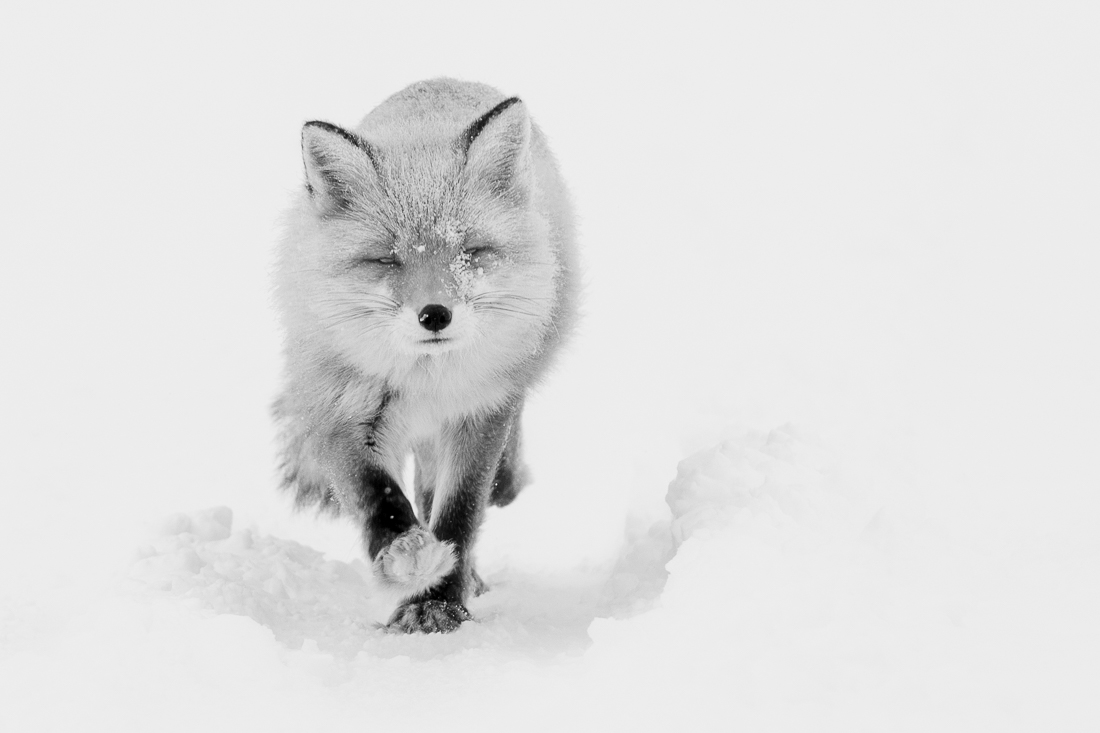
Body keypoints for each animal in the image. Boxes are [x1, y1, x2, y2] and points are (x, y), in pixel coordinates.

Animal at [272, 79, 579, 633]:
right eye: (386, 259)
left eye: (470, 252)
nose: (435, 315)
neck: (425, 381)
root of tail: (443, 82)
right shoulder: (339, 407)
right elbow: (374, 492)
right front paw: (405, 555)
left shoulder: (480, 411)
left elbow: (460, 511)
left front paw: (439, 603)